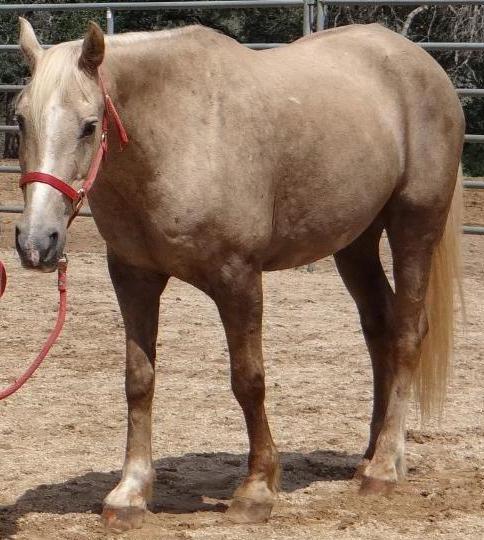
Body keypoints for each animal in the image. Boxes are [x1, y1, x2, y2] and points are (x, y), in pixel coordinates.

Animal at [14, 18, 463, 531]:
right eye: (20, 118)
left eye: (90, 126)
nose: (36, 241)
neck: (178, 131)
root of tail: (420, 61)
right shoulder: (133, 277)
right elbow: (139, 381)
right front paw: (130, 493)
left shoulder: (238, 278)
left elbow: (248, 380)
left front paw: (257, 490)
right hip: (356, 242)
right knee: (379, 328)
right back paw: (372, 455)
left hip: (415, 224)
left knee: (408, 332)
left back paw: (385, 468)